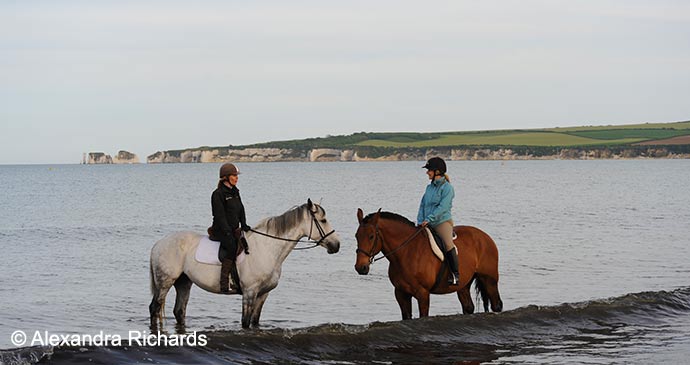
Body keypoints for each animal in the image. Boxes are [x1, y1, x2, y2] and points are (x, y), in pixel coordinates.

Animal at [354, 208, 500, 318]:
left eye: (371, 236)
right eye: (357, 236)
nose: (360, 267)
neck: (407, 252)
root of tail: (485, 236)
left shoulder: (423, 294)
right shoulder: (401, 293)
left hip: (489, 280)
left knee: (496, 305)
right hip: (463, 285)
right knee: (468, 307)